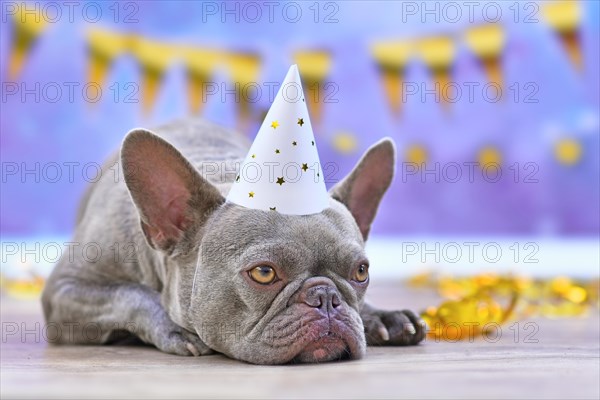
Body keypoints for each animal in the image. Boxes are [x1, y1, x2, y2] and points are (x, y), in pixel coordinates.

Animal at [41, 117, 426, 364]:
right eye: (264, 273)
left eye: (361, 272)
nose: (326, 297)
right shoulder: (65, 291)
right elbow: (130, 295)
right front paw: (172, 328)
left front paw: (380, 317)